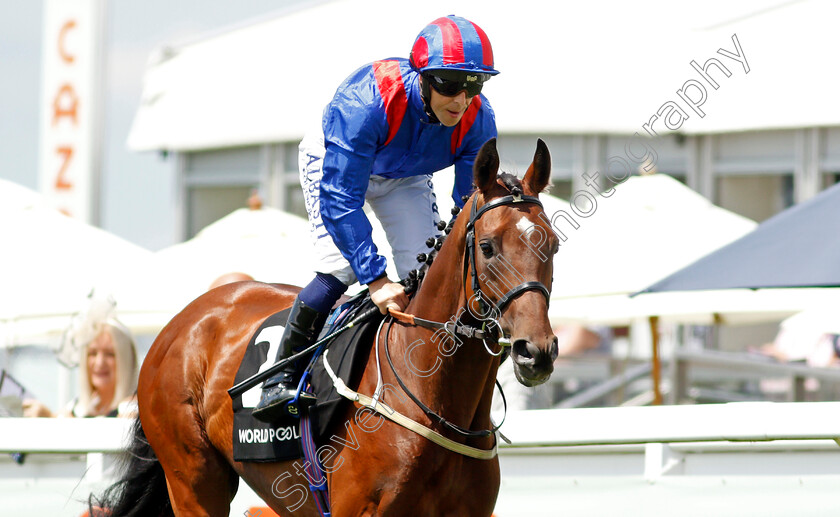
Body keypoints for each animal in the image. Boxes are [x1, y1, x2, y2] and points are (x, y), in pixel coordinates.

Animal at [95, 138, 560, 516]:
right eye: (488, 247)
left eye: (553, 244)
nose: (535, 351)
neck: (434, 400)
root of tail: (179, 324)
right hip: (193, 478)